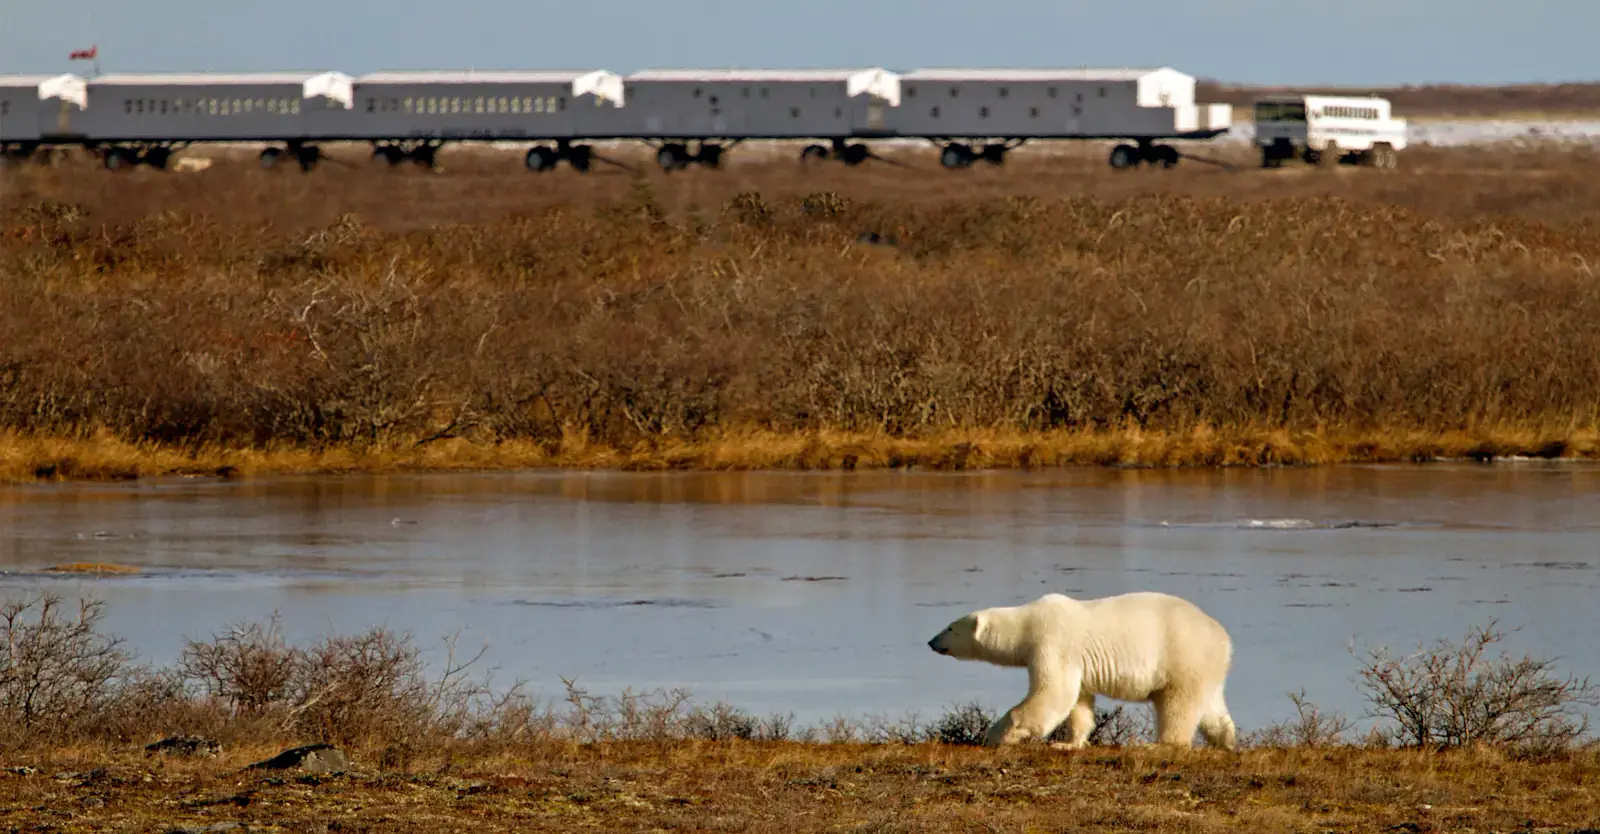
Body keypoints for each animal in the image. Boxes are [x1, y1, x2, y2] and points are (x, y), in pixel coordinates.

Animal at [926, 591, 1237, 751]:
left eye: (950, 628)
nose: (931, 641)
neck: (1027, 622)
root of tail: (1224, 638)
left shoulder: (1052, 642)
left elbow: (1052, 692)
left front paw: (997, 735)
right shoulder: (1075, 660)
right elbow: (1078, 701)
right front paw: (1069, 743)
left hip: (1181, 655)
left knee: (1177, 705)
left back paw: (1160, 745)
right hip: (1205, 667)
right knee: (1211, 707)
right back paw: (1225, 742)